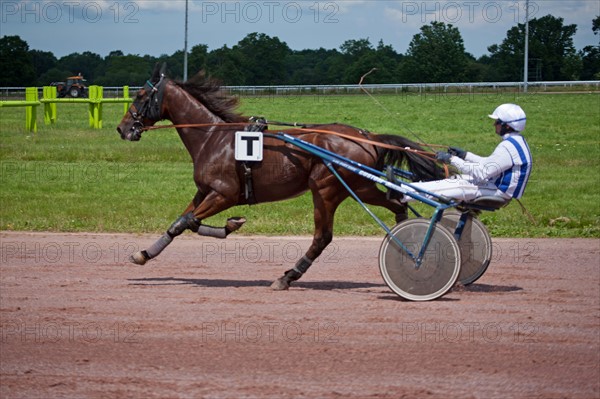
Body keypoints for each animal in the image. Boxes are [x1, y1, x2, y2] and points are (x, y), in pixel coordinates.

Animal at [117, 64, 446, 290]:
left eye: (141, 94)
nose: (122, 128)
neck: (212, 138)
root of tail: (368, 137)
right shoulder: (204, 192)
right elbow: (180, 223)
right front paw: (144, 253)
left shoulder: (224, 194)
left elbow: (188, 221)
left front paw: (230, 224)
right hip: (360, 186)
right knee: (398, 202)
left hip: (325, 189)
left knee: (323, 237)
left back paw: (287, 277)